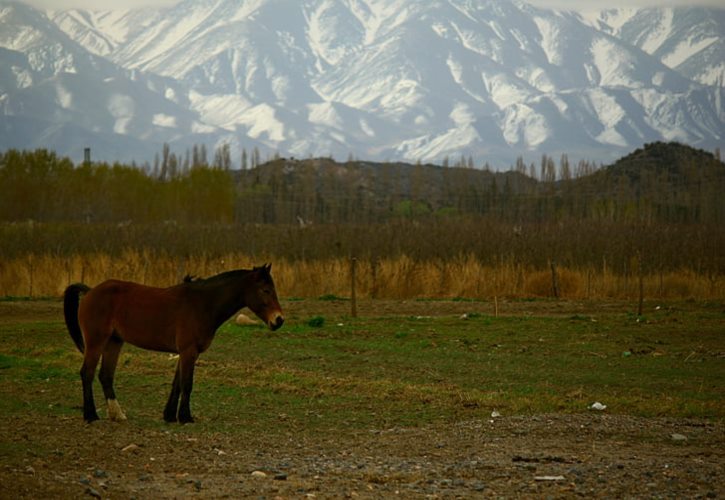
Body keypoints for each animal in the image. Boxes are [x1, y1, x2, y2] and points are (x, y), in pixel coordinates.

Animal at [63, 264, 282, 424]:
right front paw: (185, 417)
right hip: (96, 342)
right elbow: (187, 383)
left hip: (114, 342)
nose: (279, 320)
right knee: (87, 373)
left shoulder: (185, 352)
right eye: (265, 290)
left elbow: (177, 383)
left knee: (105, 375)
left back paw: (117, 414)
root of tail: (90, 291)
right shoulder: (188, 351)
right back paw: (91, 415)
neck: (202, 304)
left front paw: (169, 415)